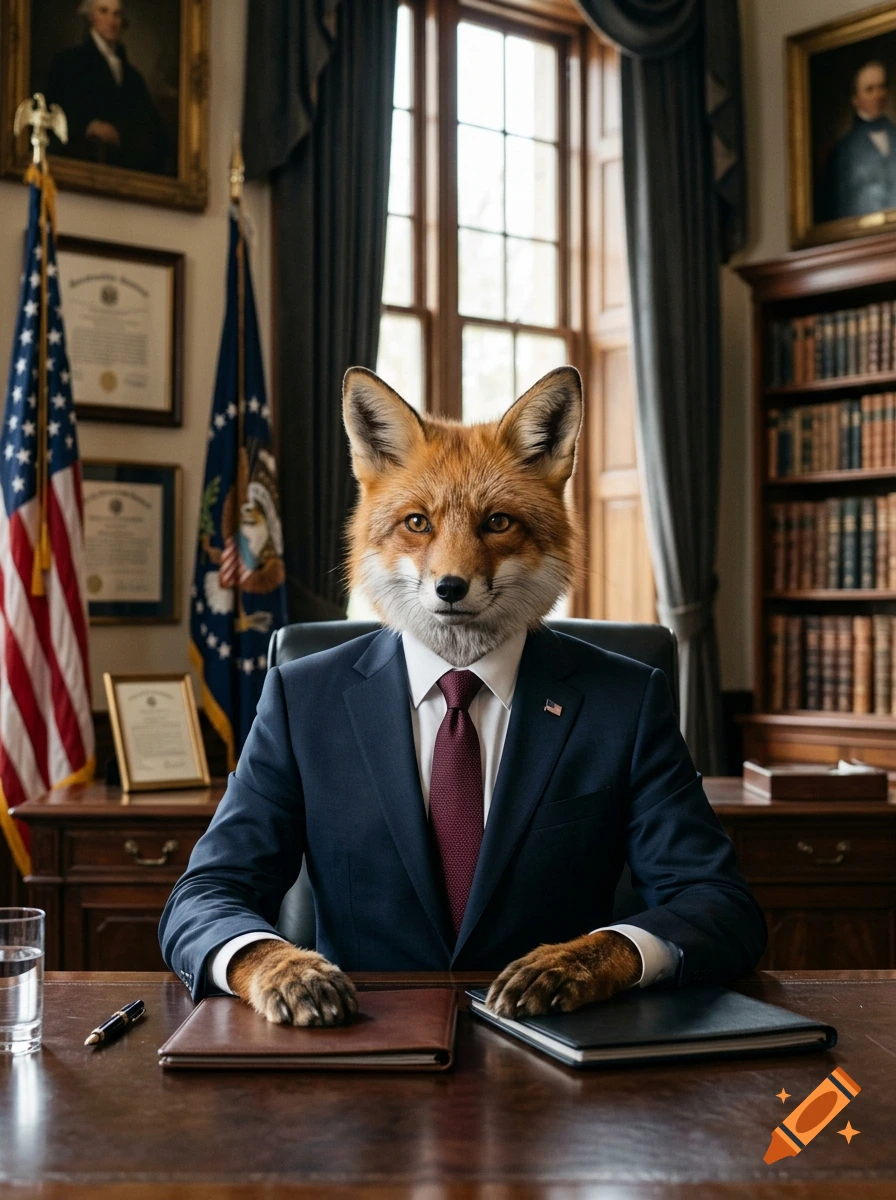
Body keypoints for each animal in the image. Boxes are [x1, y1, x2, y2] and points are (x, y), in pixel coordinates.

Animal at [228, 365, 642, 1026]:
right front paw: (296, 971)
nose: (450, 587)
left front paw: (558, 963)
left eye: (497, 522)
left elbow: (623, 930)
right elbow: (230, 905)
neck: (458, 675)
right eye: (418, 523)